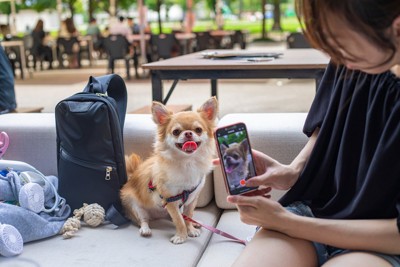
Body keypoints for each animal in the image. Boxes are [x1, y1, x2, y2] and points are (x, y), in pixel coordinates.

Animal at [120, 98, 217, 245]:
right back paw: (145, 229)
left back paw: (195, 223)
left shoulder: (191, 199)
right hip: (135, 205)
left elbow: (188, 215)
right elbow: (179, 220)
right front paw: (181, 236)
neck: (187, 163)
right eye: (176, 131)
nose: (188, 133)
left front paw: (190, 230)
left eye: (198, 130)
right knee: (143, 220)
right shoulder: (170, 199)